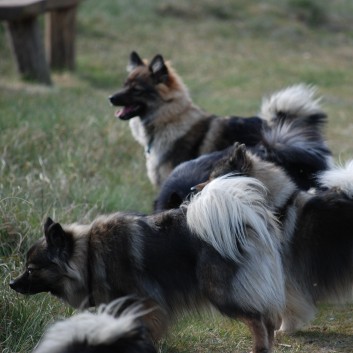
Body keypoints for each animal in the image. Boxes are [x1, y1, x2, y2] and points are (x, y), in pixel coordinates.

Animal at [10, 176, 284, 352]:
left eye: (31, 270)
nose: (12, 284)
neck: (88, 257)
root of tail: (245, 222)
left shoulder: (146, 304)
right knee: (268, 320)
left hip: (221, 293)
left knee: (258, 321)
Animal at [202, 142, 352, 332]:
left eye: (214, 178)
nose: (193, 188)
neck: (276, 209)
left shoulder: (285, 276)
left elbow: (288, 306)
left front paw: (284, 329)